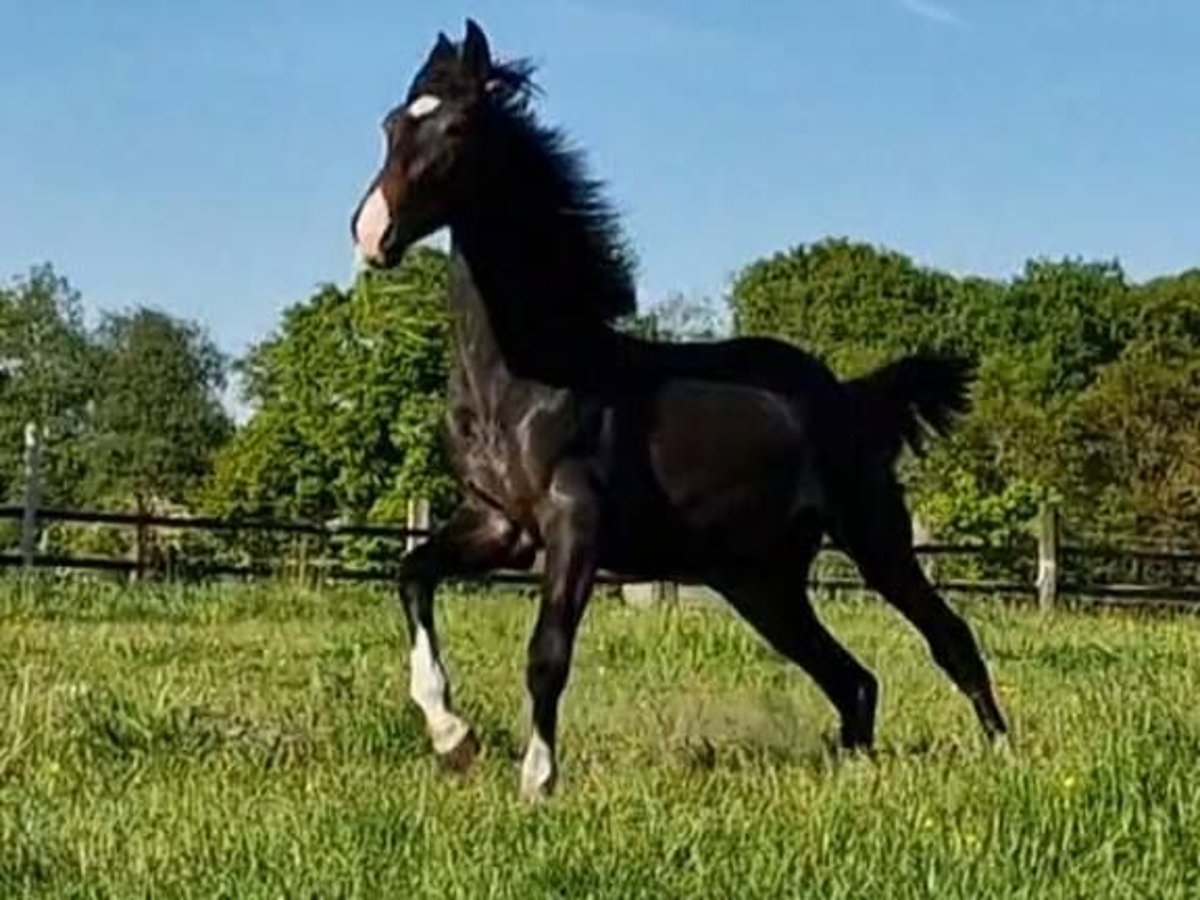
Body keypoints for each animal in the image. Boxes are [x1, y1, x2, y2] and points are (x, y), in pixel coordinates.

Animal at [350, 19, 1008, 796]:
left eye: (454, 129)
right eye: (391, 124)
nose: (371, 234)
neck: (527, 378)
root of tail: (850, 395)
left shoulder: (574, 519)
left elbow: (547, 651)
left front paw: (536, 781)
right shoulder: (499, 524)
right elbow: (413, 573)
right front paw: (453, 736)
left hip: (873, 540)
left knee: (947, 638)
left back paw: (1005, 757)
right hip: (759, 583)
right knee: (854, 680)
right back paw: (853, 775)